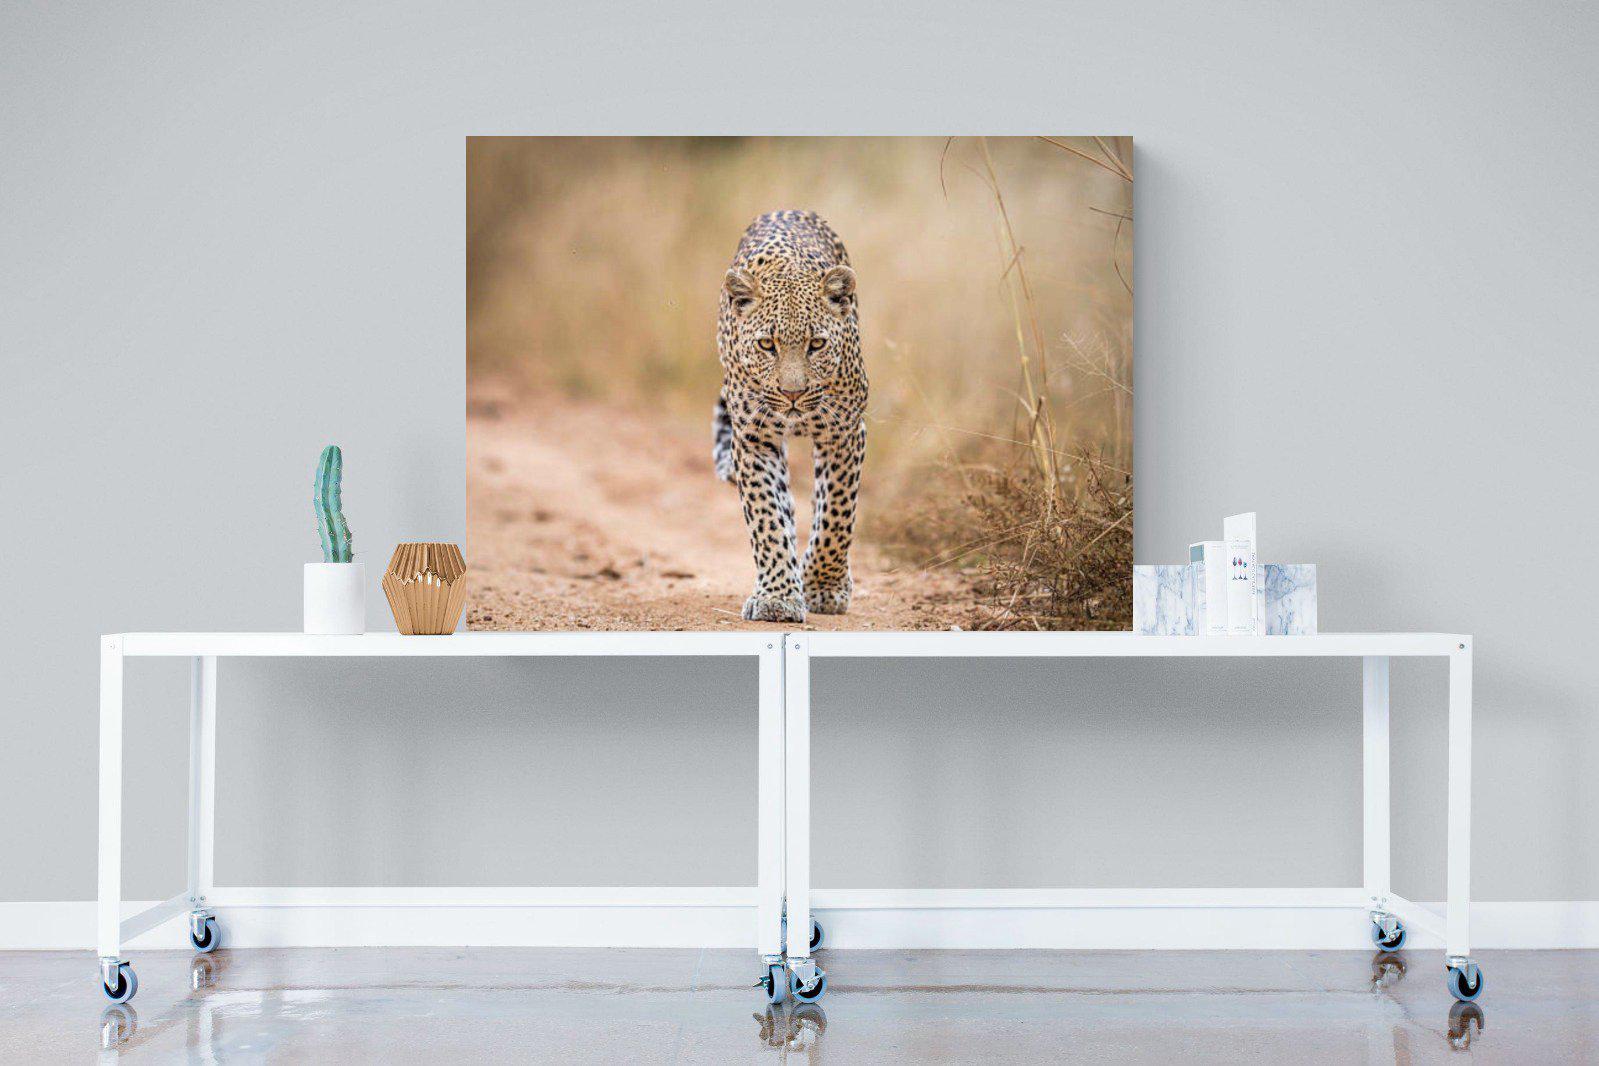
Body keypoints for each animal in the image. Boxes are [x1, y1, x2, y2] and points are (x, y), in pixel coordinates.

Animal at [712, 210, 868, 624]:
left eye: (817, 344)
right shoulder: (753, 438)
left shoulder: (844, 431)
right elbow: (767, 516)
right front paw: (778, 597)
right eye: (768, 344)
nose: (792, 394)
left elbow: (836, 514)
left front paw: (824, 587)